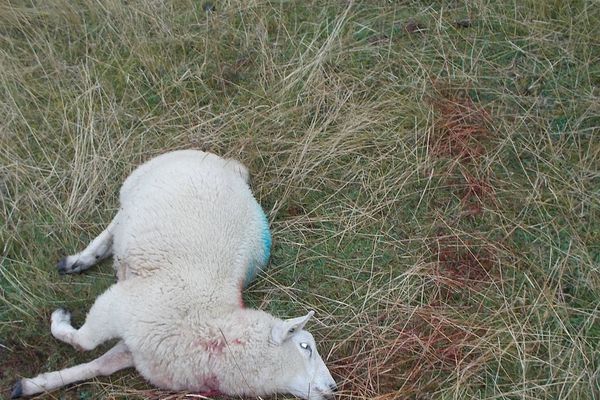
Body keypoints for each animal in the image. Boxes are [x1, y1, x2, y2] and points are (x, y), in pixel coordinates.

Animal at [11, 151, 338, 400]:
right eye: (305, 346)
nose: (333, 388)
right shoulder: (116, 305)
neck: (208, 321)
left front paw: (33, 384)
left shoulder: (140, 350)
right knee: (114, 226)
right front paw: (59, 320)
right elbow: (84, 342)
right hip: (138, 183)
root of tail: (229, 166)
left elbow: (99, 365)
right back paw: (79, 261)